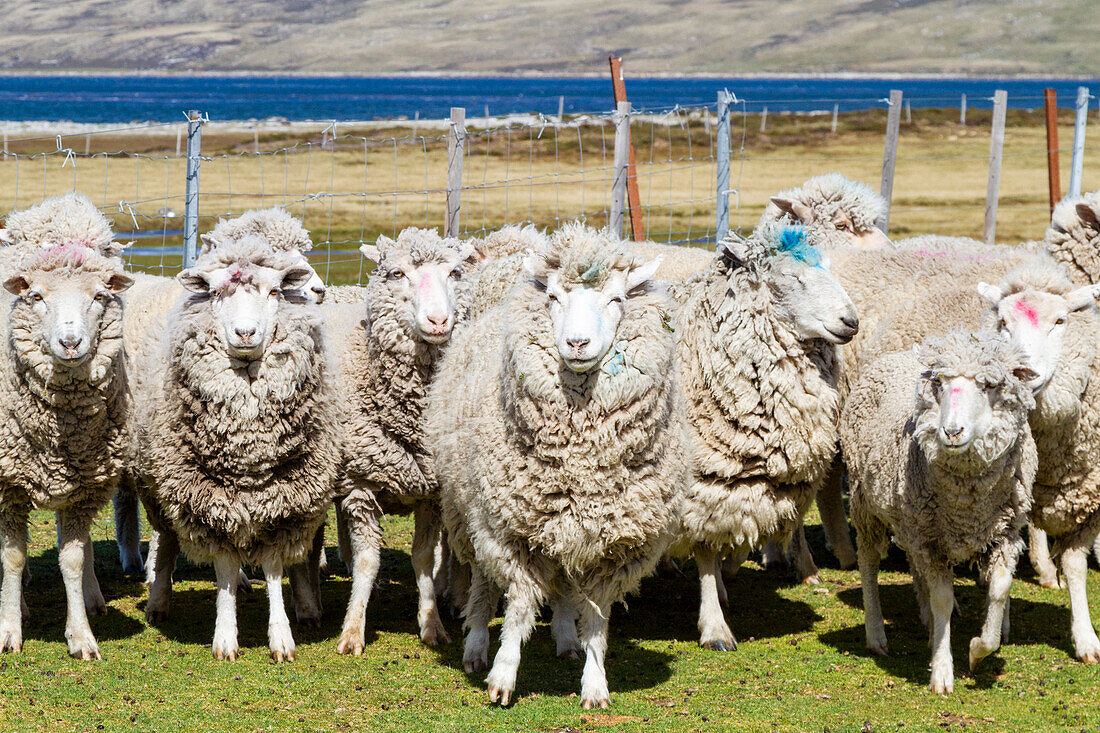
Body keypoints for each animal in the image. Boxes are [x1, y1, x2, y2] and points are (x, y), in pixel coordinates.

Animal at [0, 241, 134, 655]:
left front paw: (81, 635)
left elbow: (72, 560)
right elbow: (12, 559)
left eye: (98, 297)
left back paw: (92, 597)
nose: (71, 343)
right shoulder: (8, 486)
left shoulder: (83, 489)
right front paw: (8, 629)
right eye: (37, 297)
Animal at [133, 236, 338, 660]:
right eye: (215, 293)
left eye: (275, 292)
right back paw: (158, 601)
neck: (248, 450)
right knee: (167, 543)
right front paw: (225, 636)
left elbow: (274, 568)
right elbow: (224, 566)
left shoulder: (281, 500)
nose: (246, 333)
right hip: (158, 488)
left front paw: (281, 636)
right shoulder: (211, 498)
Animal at [426, 222, 677, 708]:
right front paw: (503, 675)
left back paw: (565, 638)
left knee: (562, 582)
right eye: (555, 297)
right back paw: (476, 646)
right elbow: (520, 606)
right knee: (483, 583)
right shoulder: (512, 531)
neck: (580, 458)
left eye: (617, 299)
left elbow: (596, 618)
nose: (577, 344)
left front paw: (595, 683)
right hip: (471, 513)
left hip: (559, 527)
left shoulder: (615, 545)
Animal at [668, 222, 858, 647]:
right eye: (791, 278)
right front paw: (715, 626)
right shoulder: (704, 479)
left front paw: (728, 577)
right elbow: (706, 551)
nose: (851, 321)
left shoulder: (760, 479)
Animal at [840, 330, 1038, 691]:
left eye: (989, 385)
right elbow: (943, 599)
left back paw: (927, 622)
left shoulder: (1003, 533)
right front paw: (943, 670)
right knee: (869, 562)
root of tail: (899, 354)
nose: (952, 432)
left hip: (911, 519)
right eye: (940, 383)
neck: (966, 504)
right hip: (866, 505)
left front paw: (978, 649)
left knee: (914, 566)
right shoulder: (932, 541)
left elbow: (1000, 588)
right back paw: (876, 633)